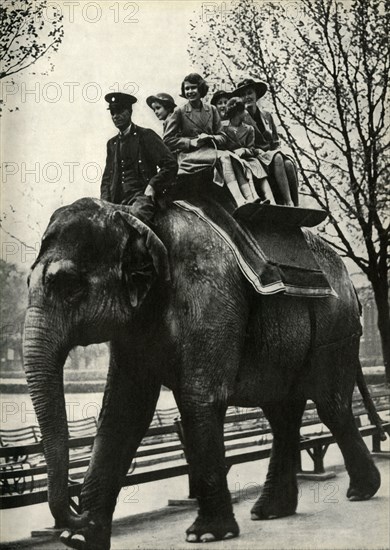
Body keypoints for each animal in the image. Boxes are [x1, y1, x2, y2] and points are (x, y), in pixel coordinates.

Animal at [22, 196, 382, 548]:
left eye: (69, 286)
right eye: (26, 282)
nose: (75, 509)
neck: (138, 219)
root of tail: (352, 285)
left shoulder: (208, 296)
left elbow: (200, 397)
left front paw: (206, 534)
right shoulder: (132, 327)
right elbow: (123, 410)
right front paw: (80, 538)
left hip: (335, 327)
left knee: (329, 405)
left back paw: (360, 491)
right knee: (282, 412)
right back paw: (269, 511)